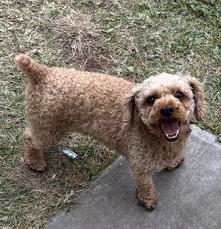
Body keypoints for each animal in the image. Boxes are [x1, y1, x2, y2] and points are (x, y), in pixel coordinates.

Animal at [15, 54, 205, 210]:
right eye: (151, 99)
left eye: (179, 94)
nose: (166, 109)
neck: (154, 135)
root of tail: (42, 72)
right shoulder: (139, 166)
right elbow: (146, 185)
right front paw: (148, 200)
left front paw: (173, 162)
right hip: (48, 128)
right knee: (29, 137)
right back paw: (35, 161)